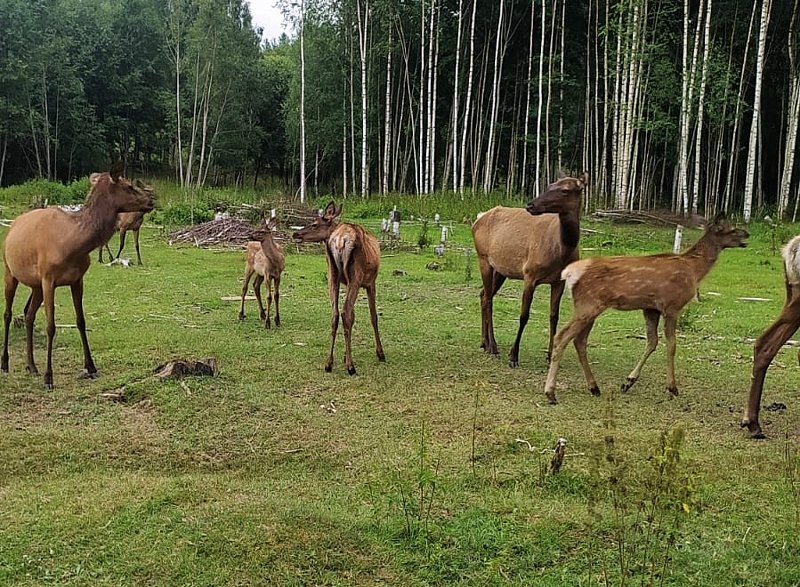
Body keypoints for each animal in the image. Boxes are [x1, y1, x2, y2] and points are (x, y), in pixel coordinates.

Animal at [1, 170, 155, 390]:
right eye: (128, 186)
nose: (151, 201)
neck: (73, 246)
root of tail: (13, 226)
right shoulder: (48, 279)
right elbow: (51, 326)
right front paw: (49, 377)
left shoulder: (77, 280)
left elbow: (81, 321)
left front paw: (91, 367)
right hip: (10, 271)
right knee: (7, 313)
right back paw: (5, 363)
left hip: (35, 285)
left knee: (28, 315)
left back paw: (31, 366)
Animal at [292, 204, 386, 374]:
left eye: (315, 224)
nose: (295, 233)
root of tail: (341, 240)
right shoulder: (370, 282)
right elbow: (373, 316)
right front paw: (380, 353)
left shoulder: (347, 282)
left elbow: (354, 316)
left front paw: (343, 356)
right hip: (356, 275)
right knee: (344, 313)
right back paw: (350, 366)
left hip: (332, 274)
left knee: (335, 314)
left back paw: (329, 363)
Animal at [468, 173, 588, 368]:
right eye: (549, 185)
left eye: (565, 190)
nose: (530, 204)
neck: (561, 251)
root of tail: (478, 218)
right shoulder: (530, 274)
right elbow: (524, 315)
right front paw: (513, 356)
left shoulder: (559, 281)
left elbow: (554, 316)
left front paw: (550, 355)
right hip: (483, 258)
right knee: (488, 299)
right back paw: (493, 348)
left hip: (500, 269)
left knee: (483, 294)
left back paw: (484, 342)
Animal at [540, 215, 748, 404]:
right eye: (730, 229)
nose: (747, 233)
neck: (694, 270)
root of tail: (569, 273)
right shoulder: (672, 305)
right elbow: (671, 345)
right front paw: (672, 387)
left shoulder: (650, 308)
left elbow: (652, 342)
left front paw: (628, 381)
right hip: (588, 304)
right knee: (563, 336)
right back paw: (551, 393)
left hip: (589, 307)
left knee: (579, 341)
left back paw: (594, 387)